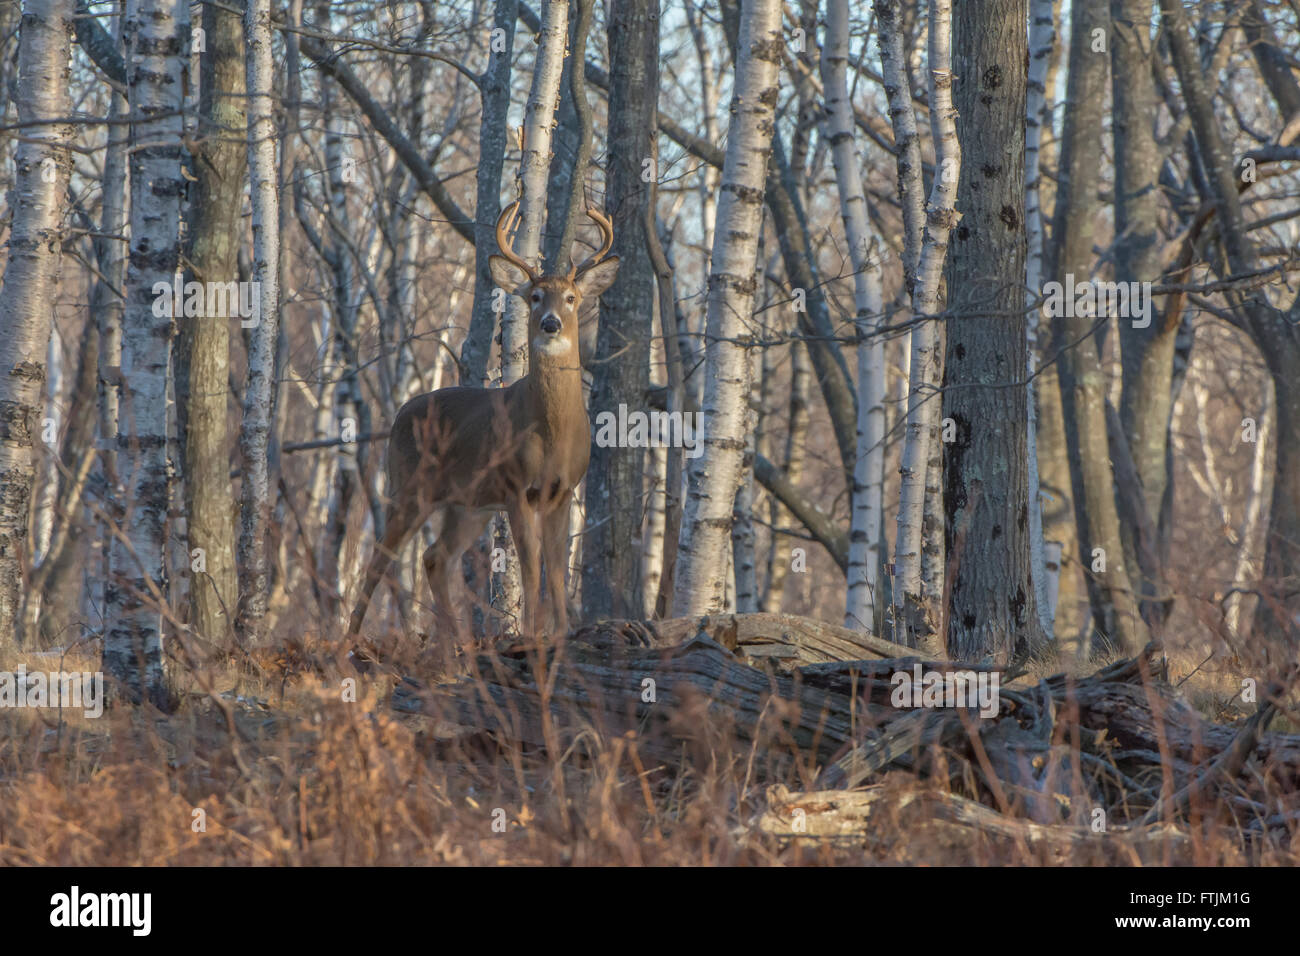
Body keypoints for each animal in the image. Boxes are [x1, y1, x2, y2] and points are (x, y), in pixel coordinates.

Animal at [345, 201, 618, 658]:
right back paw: (349, 642)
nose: (550, 324)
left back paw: (454, 642)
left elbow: (557, 568)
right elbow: (530, 566)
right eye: (534, 297)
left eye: (571, 298)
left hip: (467, 505)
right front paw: (531, 636)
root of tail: (400, 413)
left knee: (434, 557)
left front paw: (562, 633)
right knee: (381, 556)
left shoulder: (562, 492)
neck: (553, 430)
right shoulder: (517, 488)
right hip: (412, 486)